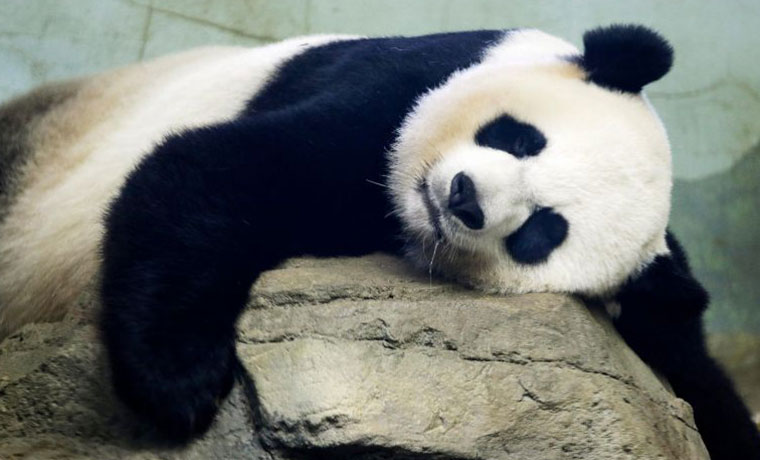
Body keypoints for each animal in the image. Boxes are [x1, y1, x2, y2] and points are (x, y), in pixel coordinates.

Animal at [0, 24, 757, 459]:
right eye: (519, 138)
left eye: (543, 231)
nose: (464, 198)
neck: (399, 215)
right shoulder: (401, 86)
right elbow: (217, 167)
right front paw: (178, 382)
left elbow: (691, 362)